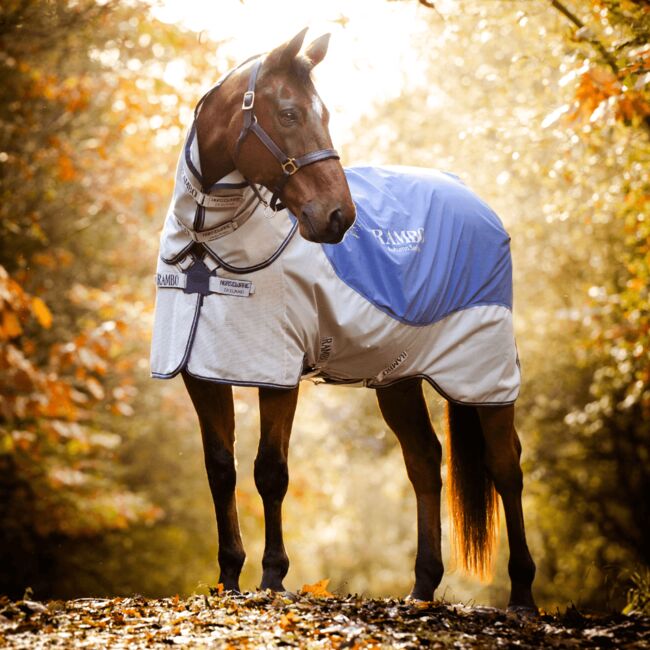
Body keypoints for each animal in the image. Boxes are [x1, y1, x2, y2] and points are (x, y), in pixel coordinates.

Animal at [151, 28, 537, 613]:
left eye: (324, 114)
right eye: (288, 113)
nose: (339, 217)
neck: (207, 244)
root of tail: (477, 202)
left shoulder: (277, 373)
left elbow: (270, 471)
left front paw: (273, 576)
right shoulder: (202, 369)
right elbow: (221, 468)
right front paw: (229, 577)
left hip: (483, 373)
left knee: (505, 467)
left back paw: (522, 594)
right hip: (399, 377)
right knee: (424, 461)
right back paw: (421, 587)